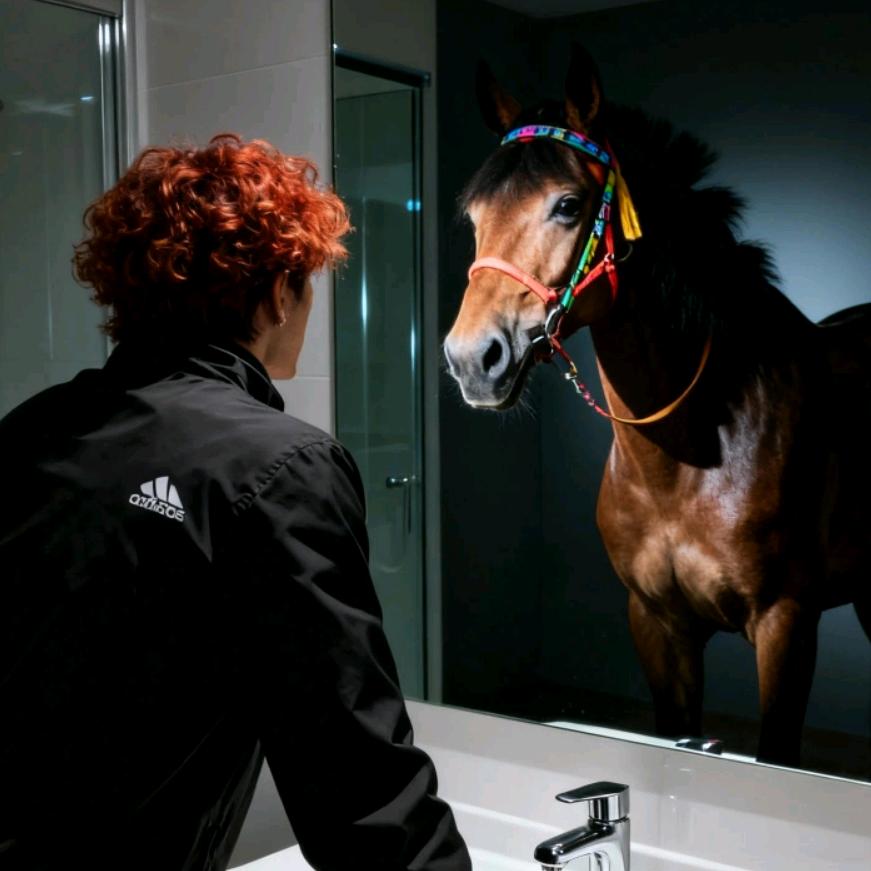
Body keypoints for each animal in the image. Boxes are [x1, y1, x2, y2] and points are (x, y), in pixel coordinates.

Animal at [442, 44, 871, 767]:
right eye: (473, 216)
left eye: (566, 205)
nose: (474, 358)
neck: (690, 456)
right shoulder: (656, 624)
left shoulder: (787, 624)